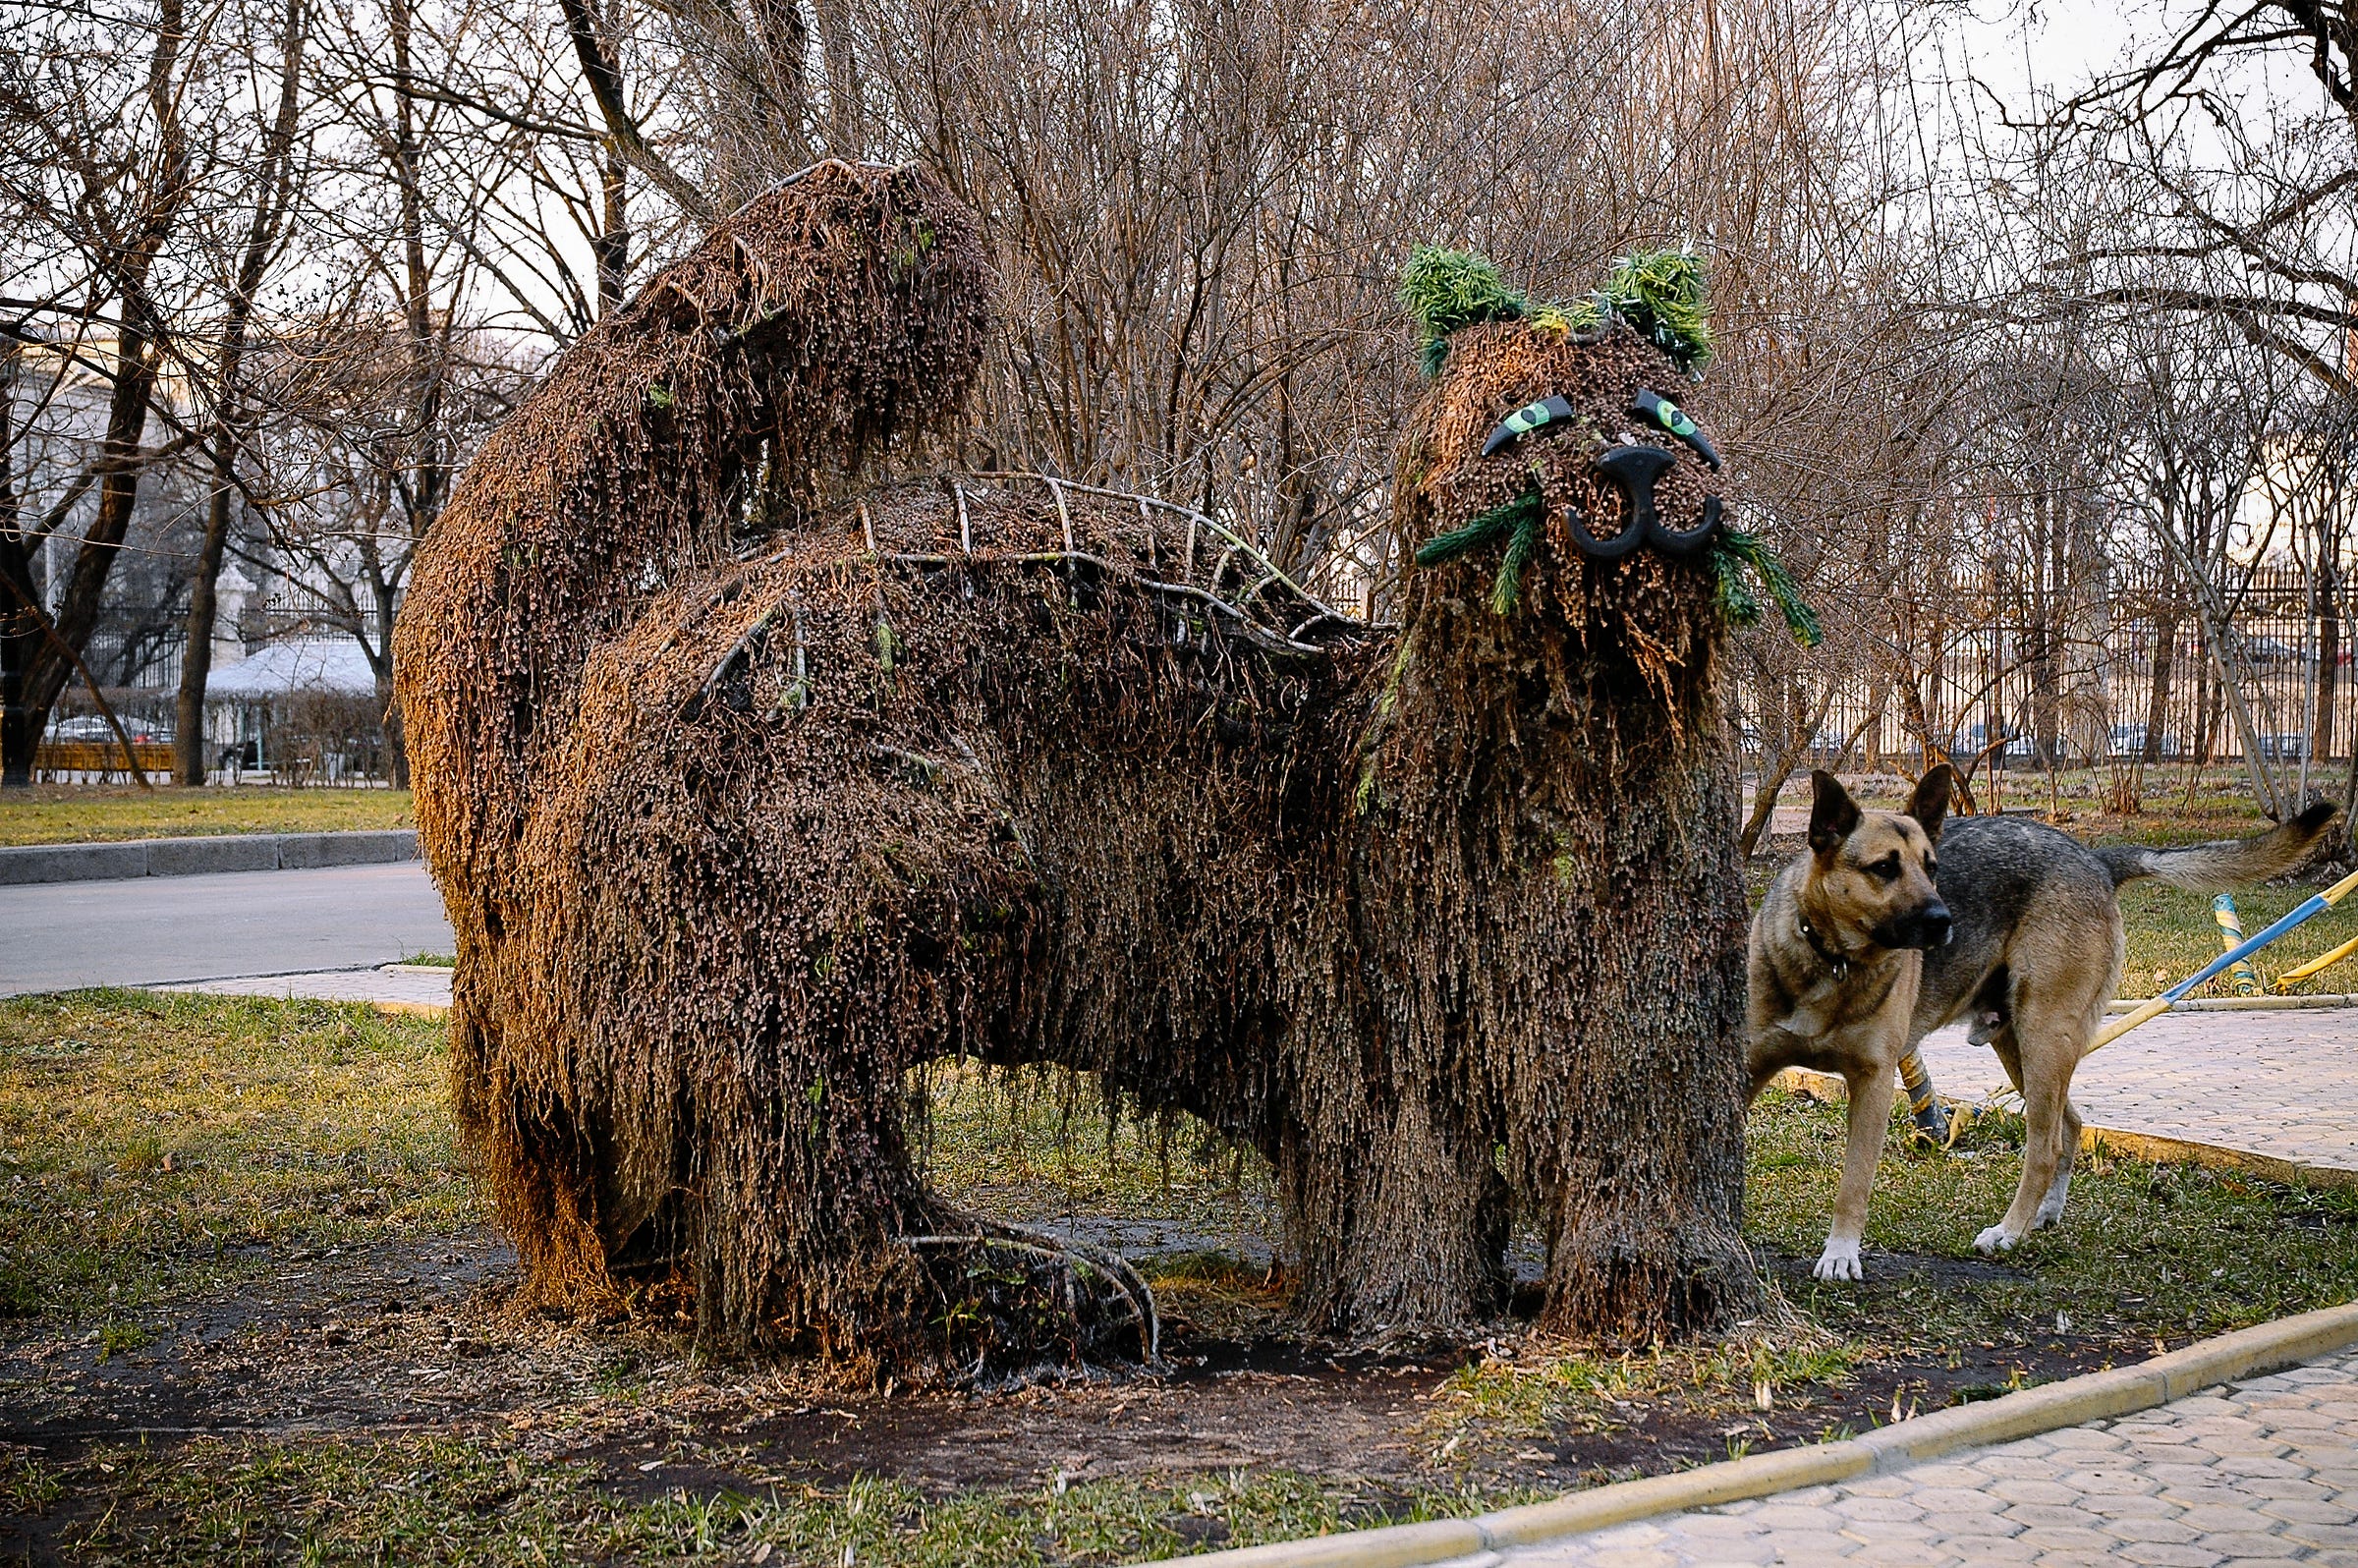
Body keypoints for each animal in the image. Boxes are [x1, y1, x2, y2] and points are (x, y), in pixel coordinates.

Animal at [1745, 763, 2330, 1282]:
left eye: (1932, 868)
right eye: (1884, 868)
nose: (1944, 922)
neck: (1832, 962)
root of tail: (2095, 858)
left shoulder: (1873, 1083)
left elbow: (1854, 1183)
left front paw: (1841, 1255)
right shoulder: (1747, 1068)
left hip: (2044, 1034)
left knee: (2045, 1145)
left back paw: (2010, 1231)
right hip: (2017, 1042)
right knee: (2070, 1124)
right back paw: (2044, 1216)